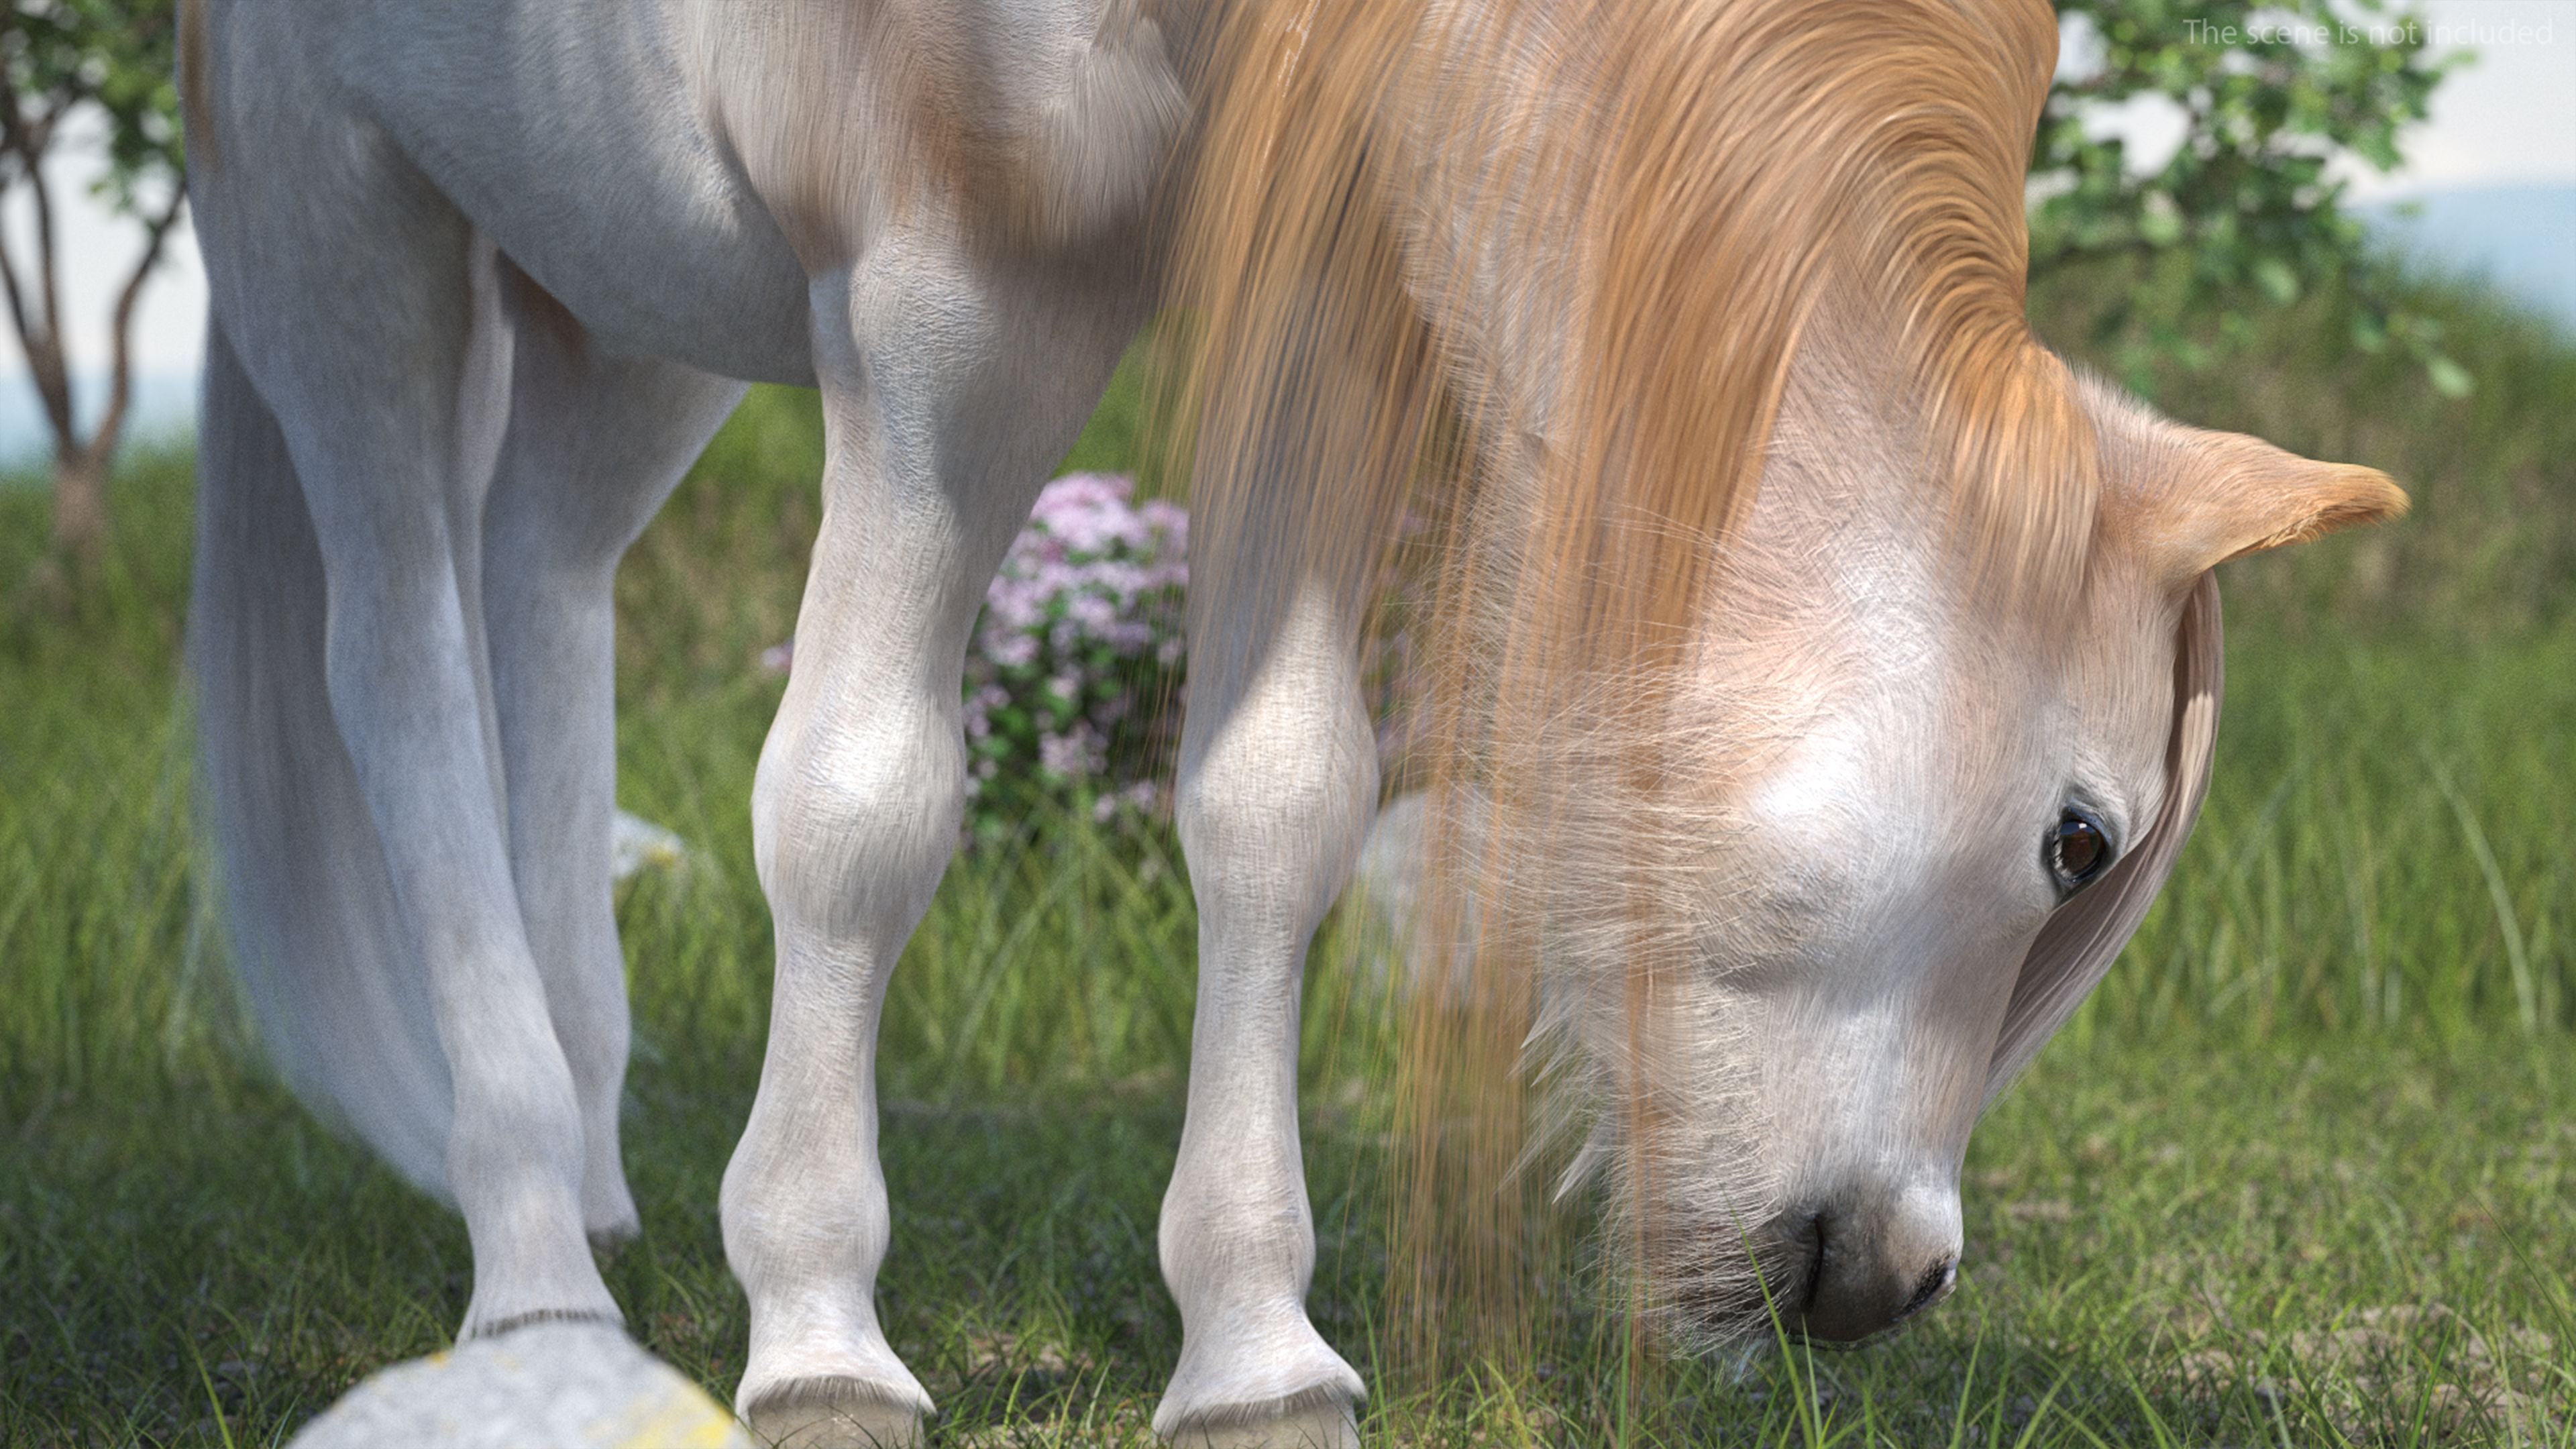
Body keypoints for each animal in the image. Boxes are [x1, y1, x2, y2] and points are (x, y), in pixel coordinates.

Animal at [181, 0, 2390, 1433]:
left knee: (542, 588)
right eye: (2077, 838)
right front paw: (815, 1333)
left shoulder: (1327, 301)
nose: (1885, 1282)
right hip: (336, 214)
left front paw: (1251, 1354)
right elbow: (859, 802)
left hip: (620, 297)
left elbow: (1278, 804)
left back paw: (589, 1187)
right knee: (400, 666)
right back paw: (533, 1273)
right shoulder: (942, 299)